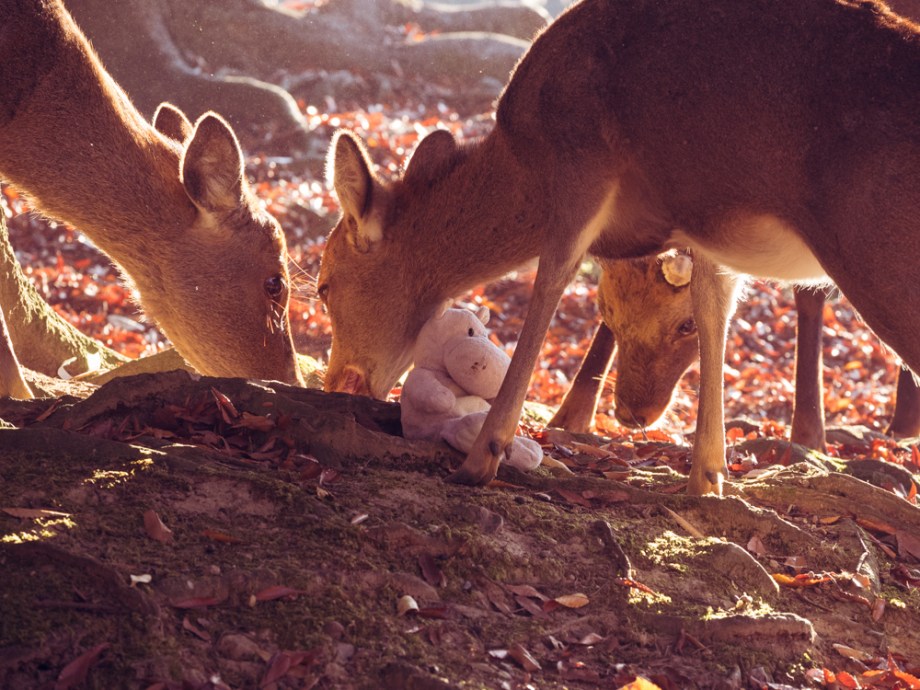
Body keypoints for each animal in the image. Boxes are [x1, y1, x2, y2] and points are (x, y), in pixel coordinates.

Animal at [549, 254, 920, 450]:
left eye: (688, 325)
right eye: (606, 310)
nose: (632, 414)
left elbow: (810, 289)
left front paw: (808, 434)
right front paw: (568, 416)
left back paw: (903, 424)